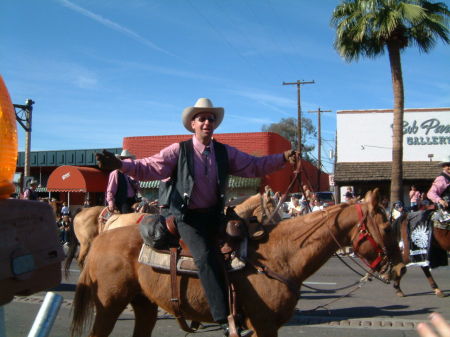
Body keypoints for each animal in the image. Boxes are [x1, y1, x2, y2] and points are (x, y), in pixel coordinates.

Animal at [71, 189, 408, 336]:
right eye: (386, 226)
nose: (401, 268)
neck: (282, 255)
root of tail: (103, 236)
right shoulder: (264, 324)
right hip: (109, 305)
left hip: (144, 305)